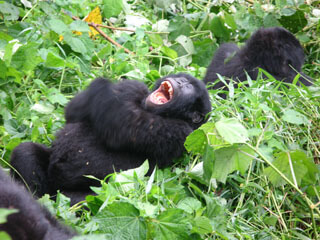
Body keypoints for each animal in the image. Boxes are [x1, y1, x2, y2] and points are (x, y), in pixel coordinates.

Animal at [10, 73, 211, 202]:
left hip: (73, 194)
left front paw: (101, 87)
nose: (179, 81)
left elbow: (123, 126)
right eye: (183, 79)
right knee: (25, 152)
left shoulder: (182, 132)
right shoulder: (135, 88)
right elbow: (73, 113)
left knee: (83, 201)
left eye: (188, 87)